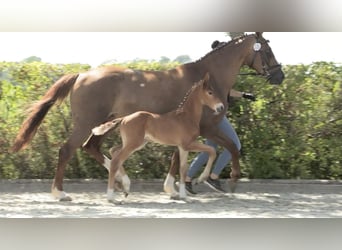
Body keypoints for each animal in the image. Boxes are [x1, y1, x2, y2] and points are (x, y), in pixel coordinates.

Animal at [90, 73, 224, 202]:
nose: (221, 107)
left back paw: (126, 188)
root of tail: (124, 118)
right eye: (210, 92)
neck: (187, 117)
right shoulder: (188, 144)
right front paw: (201, 178)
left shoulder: (183, 147)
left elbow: (183, 169)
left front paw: (184, 196)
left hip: (136, 143)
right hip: (133, 143)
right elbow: (212, 151)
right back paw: (111, 197)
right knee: (116, 161)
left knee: (114, 151)